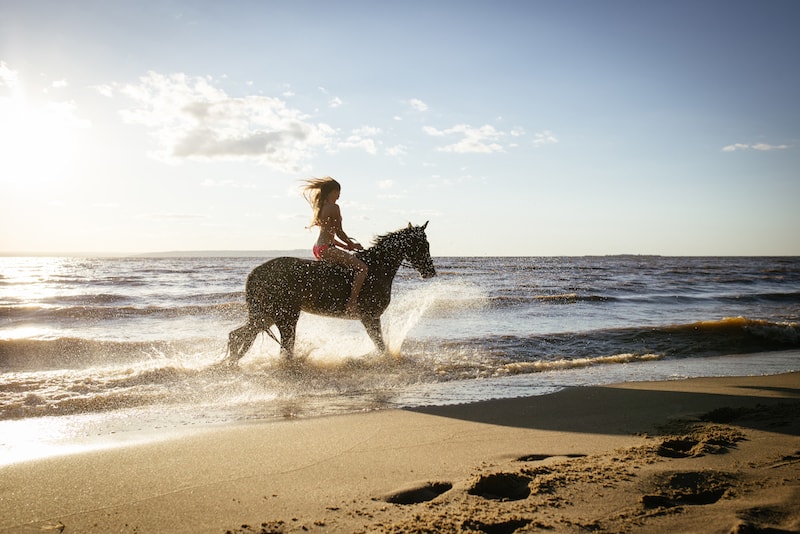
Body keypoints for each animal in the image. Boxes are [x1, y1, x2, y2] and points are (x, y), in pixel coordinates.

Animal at [225, 222, 436, 365]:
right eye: (423, 245)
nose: (430, 272)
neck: (376, 268)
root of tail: (255, 272)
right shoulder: (370, 317)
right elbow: (380, 346)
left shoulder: (371, 318)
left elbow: (380, 345)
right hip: (284, 316)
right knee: (275, 346)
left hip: (270, 315)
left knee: (239, 336)